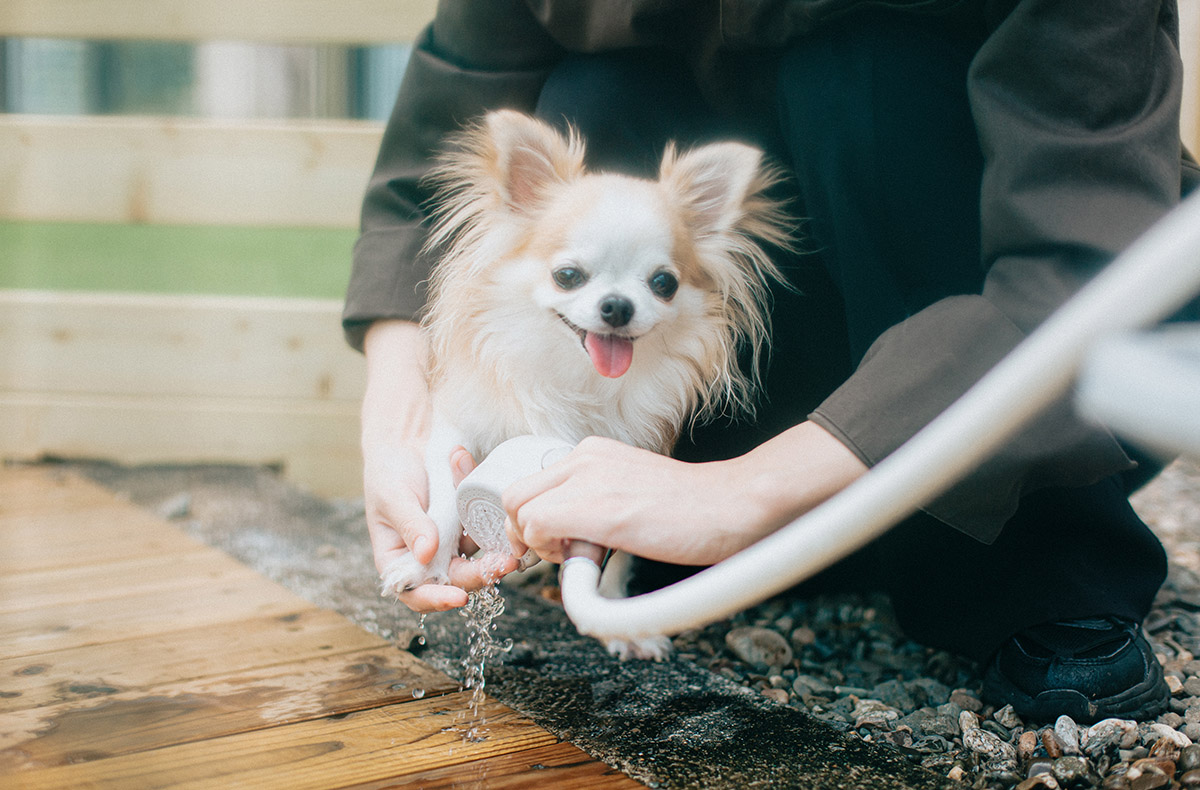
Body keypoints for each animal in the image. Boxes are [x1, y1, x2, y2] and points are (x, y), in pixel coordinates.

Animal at [384, 107, 792, 653]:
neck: (578, 374)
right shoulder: (455, 428)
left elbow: (620, 540)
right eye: (568, 276)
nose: (617, 306)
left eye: (664, 284)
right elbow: (445, 503)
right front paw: (423, 565)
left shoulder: (626, 459)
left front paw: (620, 618)